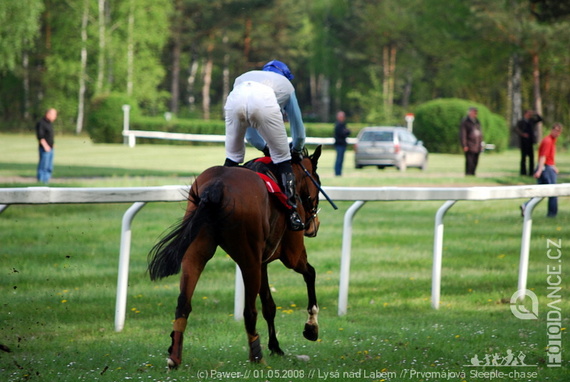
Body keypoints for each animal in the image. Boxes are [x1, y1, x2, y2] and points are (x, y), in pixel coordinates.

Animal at [146, 145, 322, 368]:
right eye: (317, 181)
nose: (314, 226)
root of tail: (216, 186)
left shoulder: (262, 261)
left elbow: (269, 305)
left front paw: (276, 347)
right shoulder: (291, 253)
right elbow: (310, 274)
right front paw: (311, 328)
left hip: (196, 251)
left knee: (183, 303)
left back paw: (174, 356)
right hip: (249, 261)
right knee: (249, 311)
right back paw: (257, 356)